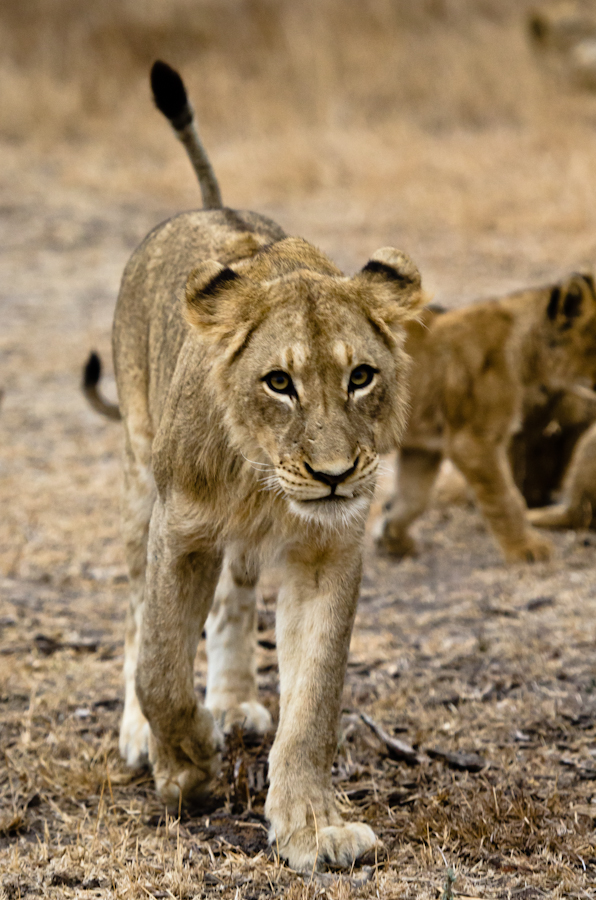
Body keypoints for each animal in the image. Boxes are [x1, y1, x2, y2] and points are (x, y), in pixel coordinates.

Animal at [90, 60, 425, 871]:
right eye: (280, 382)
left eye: (361, 376)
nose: (335, 474)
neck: (264, 482)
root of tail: (213, 205)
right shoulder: (180, 528)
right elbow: (160, 662)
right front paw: (185, 766)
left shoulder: (329, 546)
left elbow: (314, 699)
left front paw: (312, 825)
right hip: (137, 476)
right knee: (134, 613)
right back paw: (142, 733)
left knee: (235, 600)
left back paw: (236, 700)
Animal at [375, 275, 596, 563]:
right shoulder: (473, 441)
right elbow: (505, 498)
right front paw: (526, 548)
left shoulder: (422, 449)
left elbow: (413, 499)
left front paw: (393, 538)